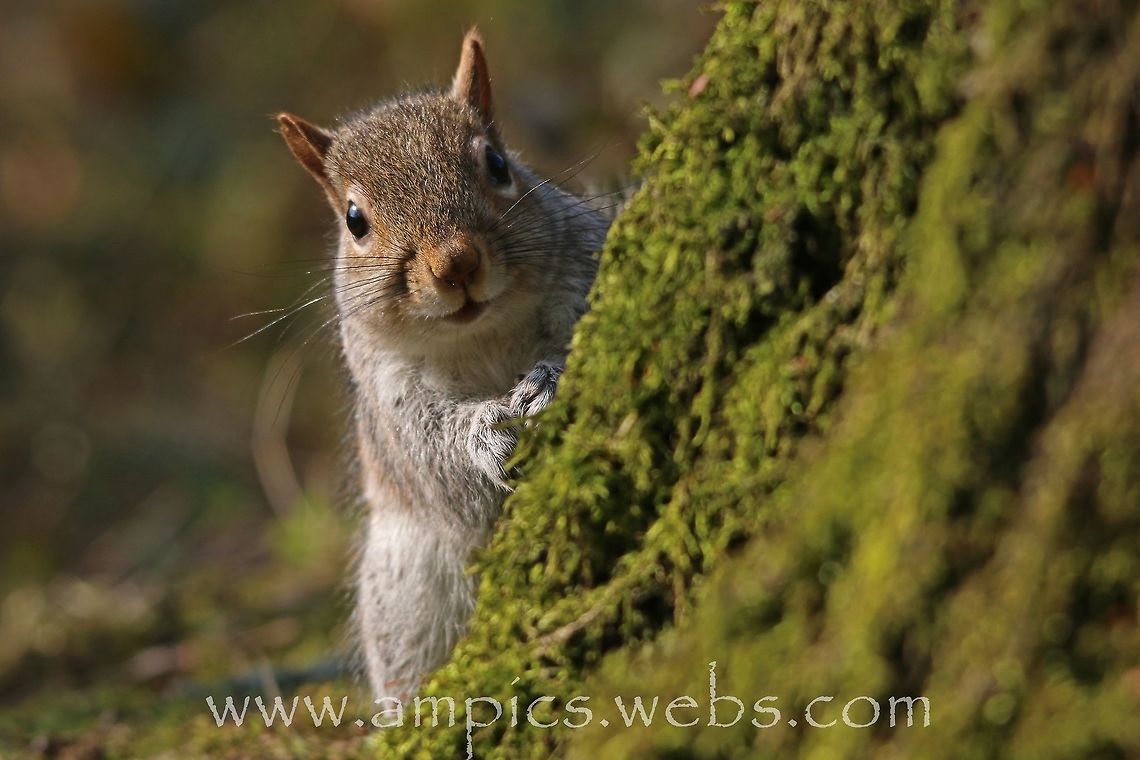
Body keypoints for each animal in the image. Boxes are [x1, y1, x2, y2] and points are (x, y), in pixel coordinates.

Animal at [275, 30, 610, 699]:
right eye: (354, 221)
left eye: (498, 164)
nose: (456, 263)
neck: (481, 337)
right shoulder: (388, 400)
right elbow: (436, 455)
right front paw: (491, 434)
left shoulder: (584, 268)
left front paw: (546, 382)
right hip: (406, 598)